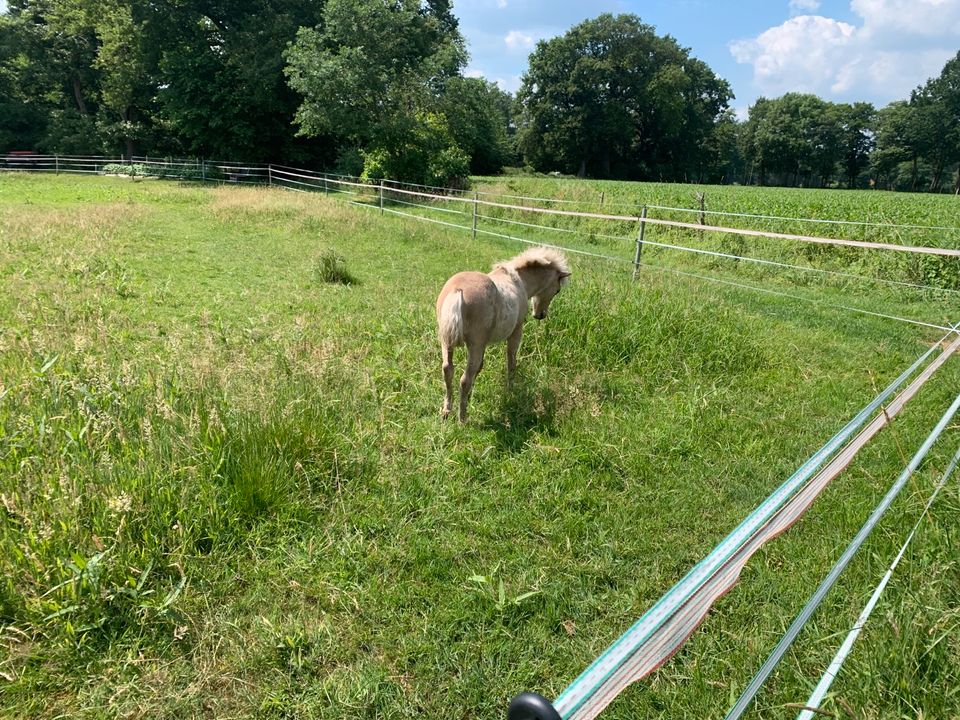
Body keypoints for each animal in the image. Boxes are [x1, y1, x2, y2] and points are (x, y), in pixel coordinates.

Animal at [436, 246, 568, 422]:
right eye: (557, 290)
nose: (540, 315)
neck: (519, 281)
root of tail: (459, 291)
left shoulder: (483, 344)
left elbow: (480, 367)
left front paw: (471, 396)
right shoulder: (516, 332)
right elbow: (511, 362)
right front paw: (511, 390)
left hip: (447, 341)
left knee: (447, 369)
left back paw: (447, 410)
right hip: (474, 345)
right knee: (464, 379)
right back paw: (462, 419)